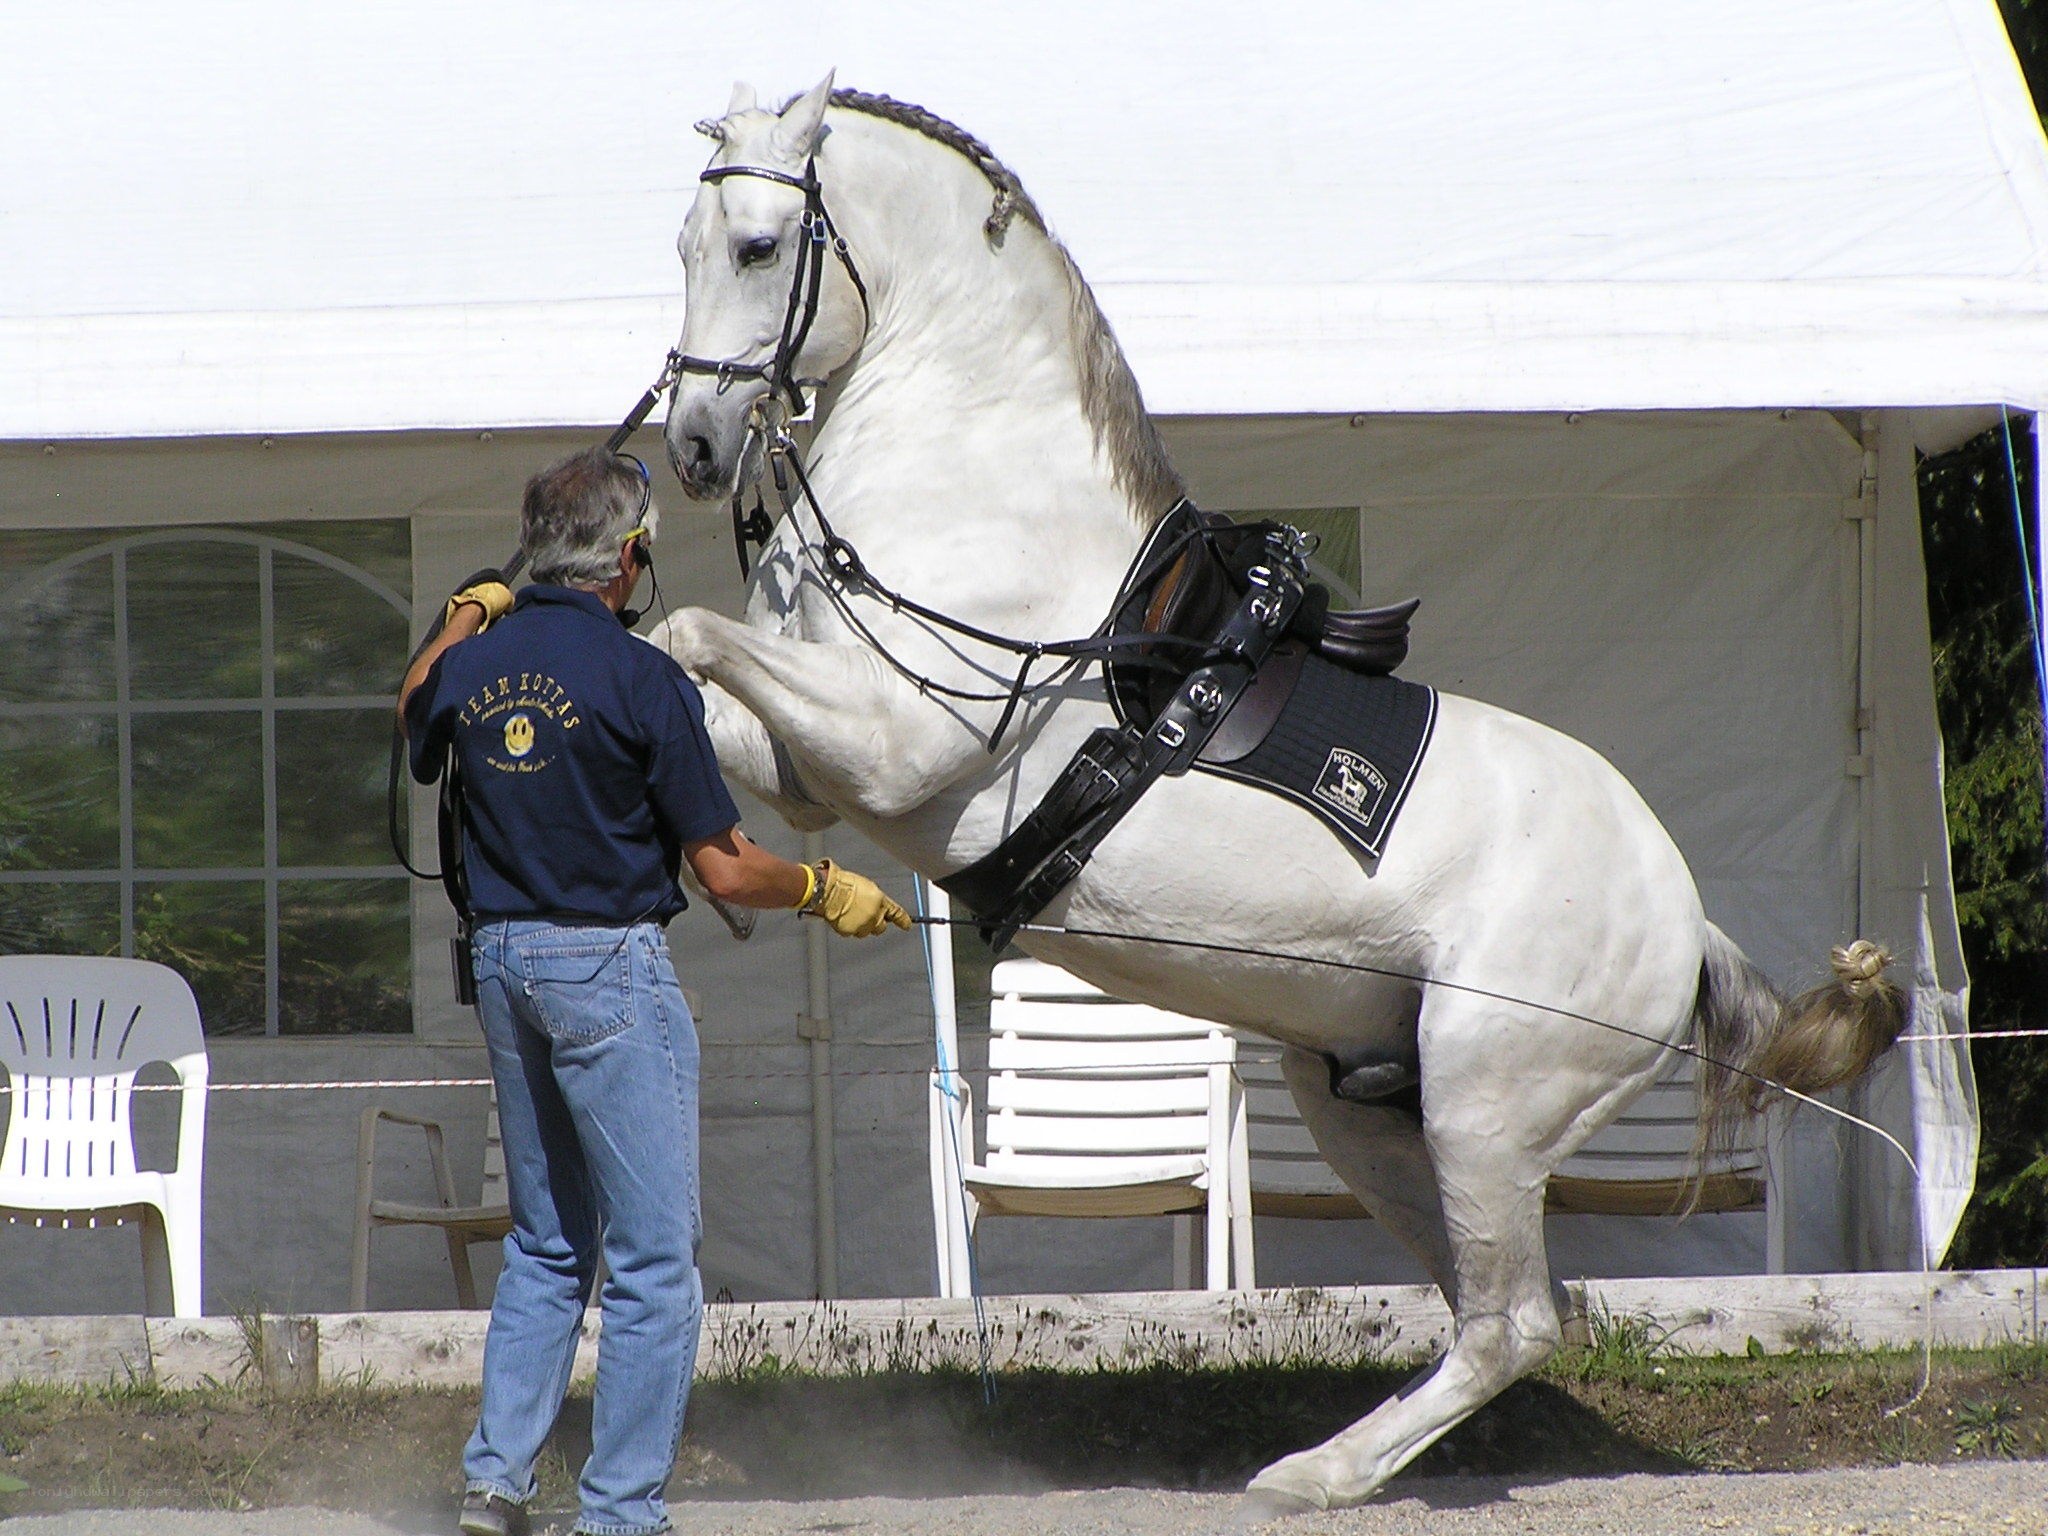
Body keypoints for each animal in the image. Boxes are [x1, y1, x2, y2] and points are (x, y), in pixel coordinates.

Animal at [649, 74, 1906, 1514]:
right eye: (682, 248)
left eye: (756, 247)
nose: (693, 446)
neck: (972, 477)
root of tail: (1683, 926)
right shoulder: (809, 764)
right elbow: (688, 685)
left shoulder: (895, 741)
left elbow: (682, 632)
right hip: (1374, 1114)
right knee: (1496, 1311)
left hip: (1485, 1110)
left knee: (1515, 1323)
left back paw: (1314, 1474)